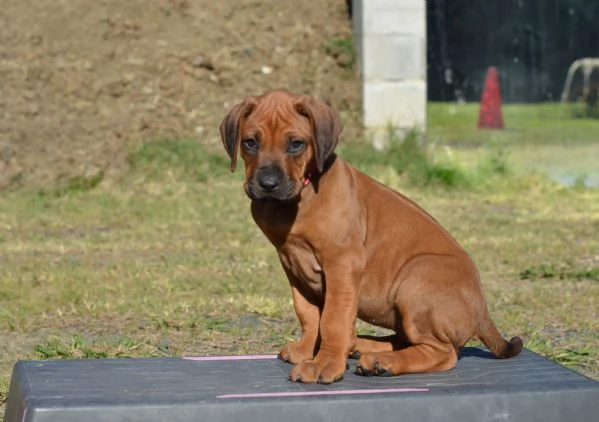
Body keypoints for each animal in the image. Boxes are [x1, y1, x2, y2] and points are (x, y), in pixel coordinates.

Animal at [221, 90, 524, 386]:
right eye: (250, 142)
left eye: (296, 144)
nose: (268, 184)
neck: (300, 196)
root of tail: (482, 310)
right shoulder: (293, 266)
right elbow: (308, 314)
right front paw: (307, 349)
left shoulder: (342, 263)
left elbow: (332, 319)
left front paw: (324, 363)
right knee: (405, 340)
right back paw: (362, 346)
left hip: (415, 280)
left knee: (443, 352)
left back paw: (382, 362)